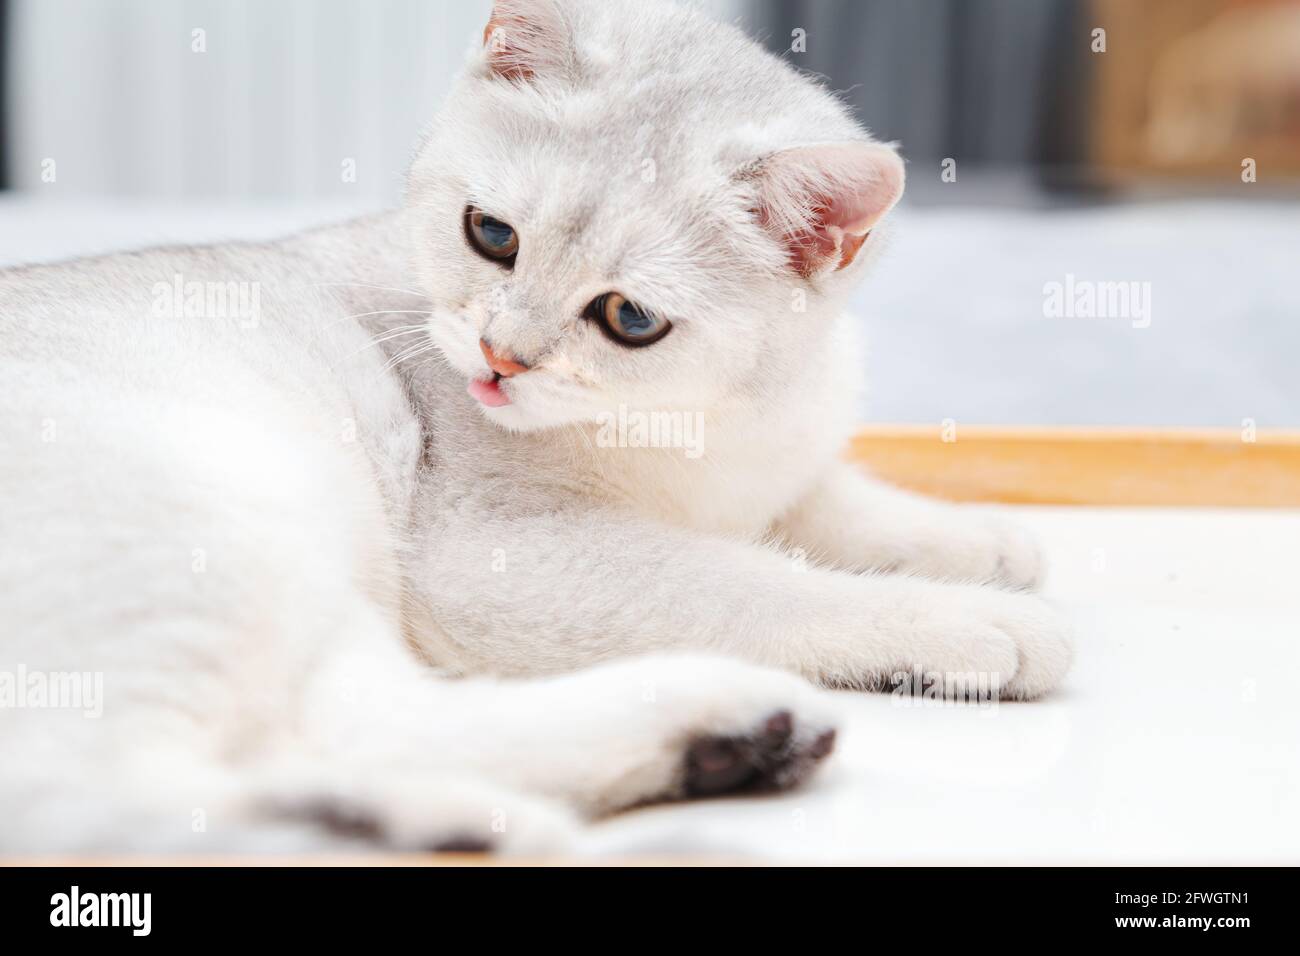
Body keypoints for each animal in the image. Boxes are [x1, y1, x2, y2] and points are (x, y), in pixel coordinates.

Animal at [0, 0, 1071, 853]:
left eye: (628, 318)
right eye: (492, 235)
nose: (499, 357)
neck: (692, 425)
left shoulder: (780, 454)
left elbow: (827, 502)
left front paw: (978, 540)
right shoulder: (493, 555)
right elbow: (756, 581)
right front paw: (966, 618)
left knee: (358, 729)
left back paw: (717, 739)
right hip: (213, 530)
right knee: (103, 798)